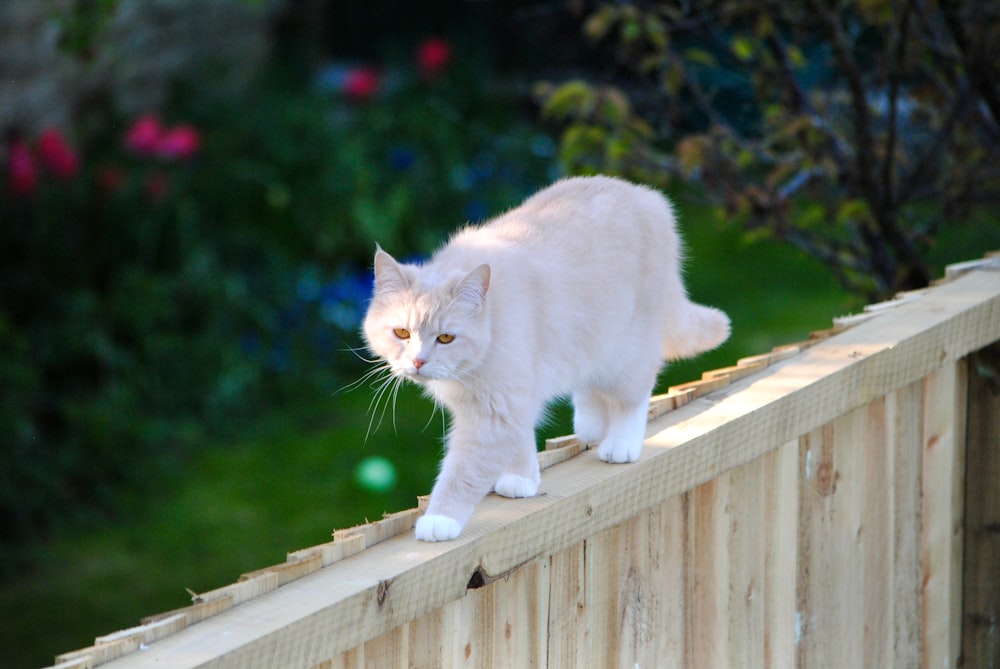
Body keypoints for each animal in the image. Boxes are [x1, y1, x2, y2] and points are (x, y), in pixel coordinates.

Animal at [360, 175, 728, 540]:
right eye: (402, 333)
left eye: (446, 338)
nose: (418, 361)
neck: (493, 321)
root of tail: (649, 200)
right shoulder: (514, 399)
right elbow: (521, 440)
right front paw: (522, 478)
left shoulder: (496, 411)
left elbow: (464, 472)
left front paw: (440, 519)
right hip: (589, 342)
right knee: (590, 385)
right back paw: (591, 425)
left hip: (626, 349)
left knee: (632, 398)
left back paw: (620, 443)